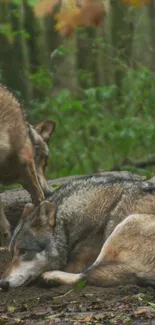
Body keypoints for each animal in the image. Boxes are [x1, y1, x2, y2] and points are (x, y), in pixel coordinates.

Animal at [0, 172, 155, 288]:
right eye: (12, 253)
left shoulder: (78, 263)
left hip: (127, 223)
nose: (3, 284)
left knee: (87, 275)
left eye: (23, 252)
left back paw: (50, 277)